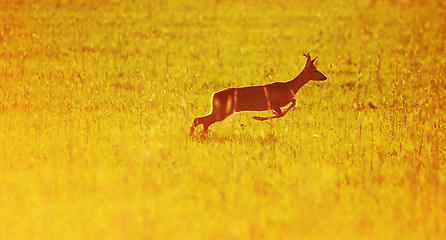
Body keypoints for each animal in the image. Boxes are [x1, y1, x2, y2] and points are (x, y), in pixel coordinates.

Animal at [189, 52, 328, 135]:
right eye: (315, 70)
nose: (324, 77)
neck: (289, 87)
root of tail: (213, 95)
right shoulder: (274, 103)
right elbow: (282, 112)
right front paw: (257, 117)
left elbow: (290, 104)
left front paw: (258, 117)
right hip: (222, 111)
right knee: (199, 120)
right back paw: (192, 135)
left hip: (220, 111)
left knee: (204, 122)